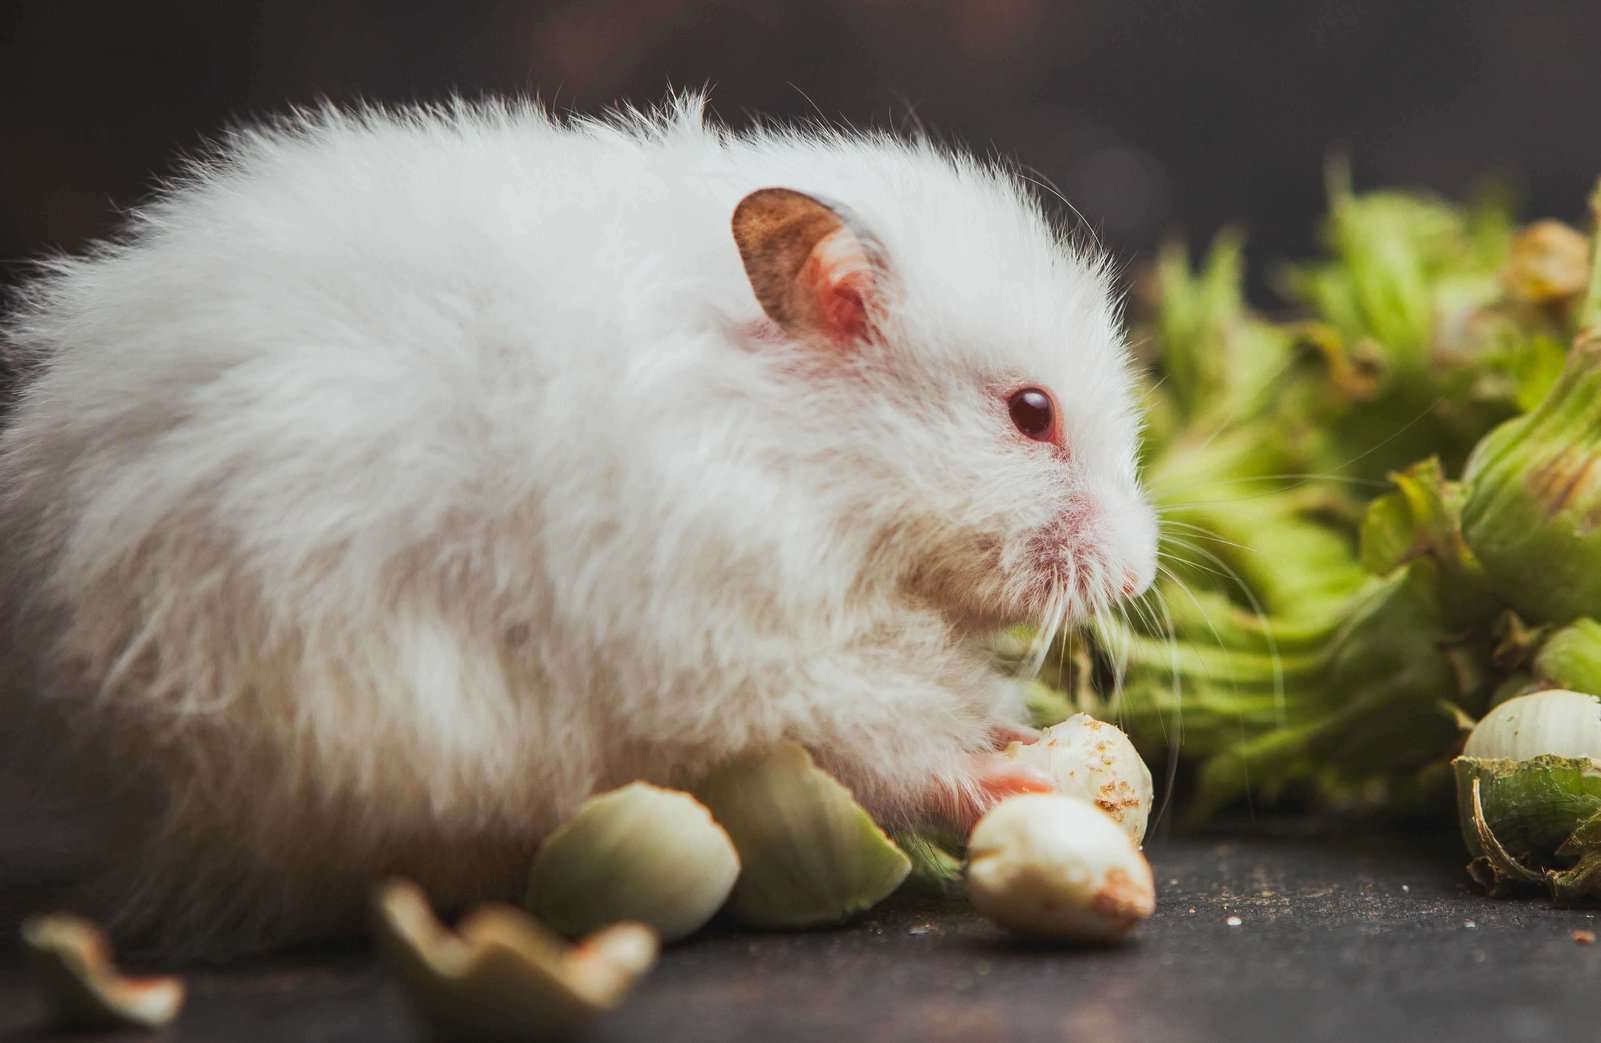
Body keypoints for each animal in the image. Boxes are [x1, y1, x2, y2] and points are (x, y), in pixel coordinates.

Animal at [0, 95, 1157, 955]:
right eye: (1030, 412)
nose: (1141, 574)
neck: (801, 458)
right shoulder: (744, 648)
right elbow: (889, 742)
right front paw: (1017, 774)